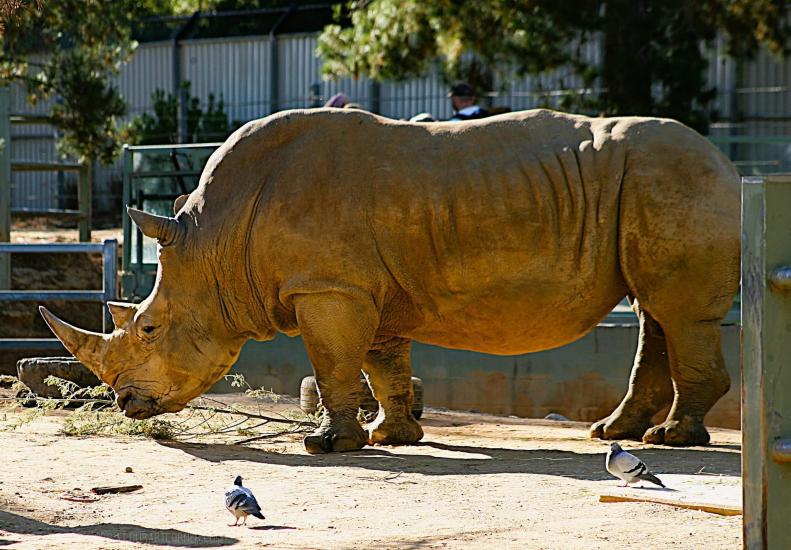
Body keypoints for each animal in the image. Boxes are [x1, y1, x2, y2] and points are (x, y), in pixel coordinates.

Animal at [40, 108, 739, 453]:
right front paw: (392, 436)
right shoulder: (364, 288)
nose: (126, 405)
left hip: (675, 178)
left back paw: (672, 439)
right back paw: (614, 434)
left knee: (678, 311)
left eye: (149, 328)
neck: (215, 243)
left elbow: (332, 364)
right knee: (654, 311)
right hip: (658, 184)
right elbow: (382, 364)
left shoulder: (327, 287)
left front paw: (327, 445)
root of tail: (729, 164)